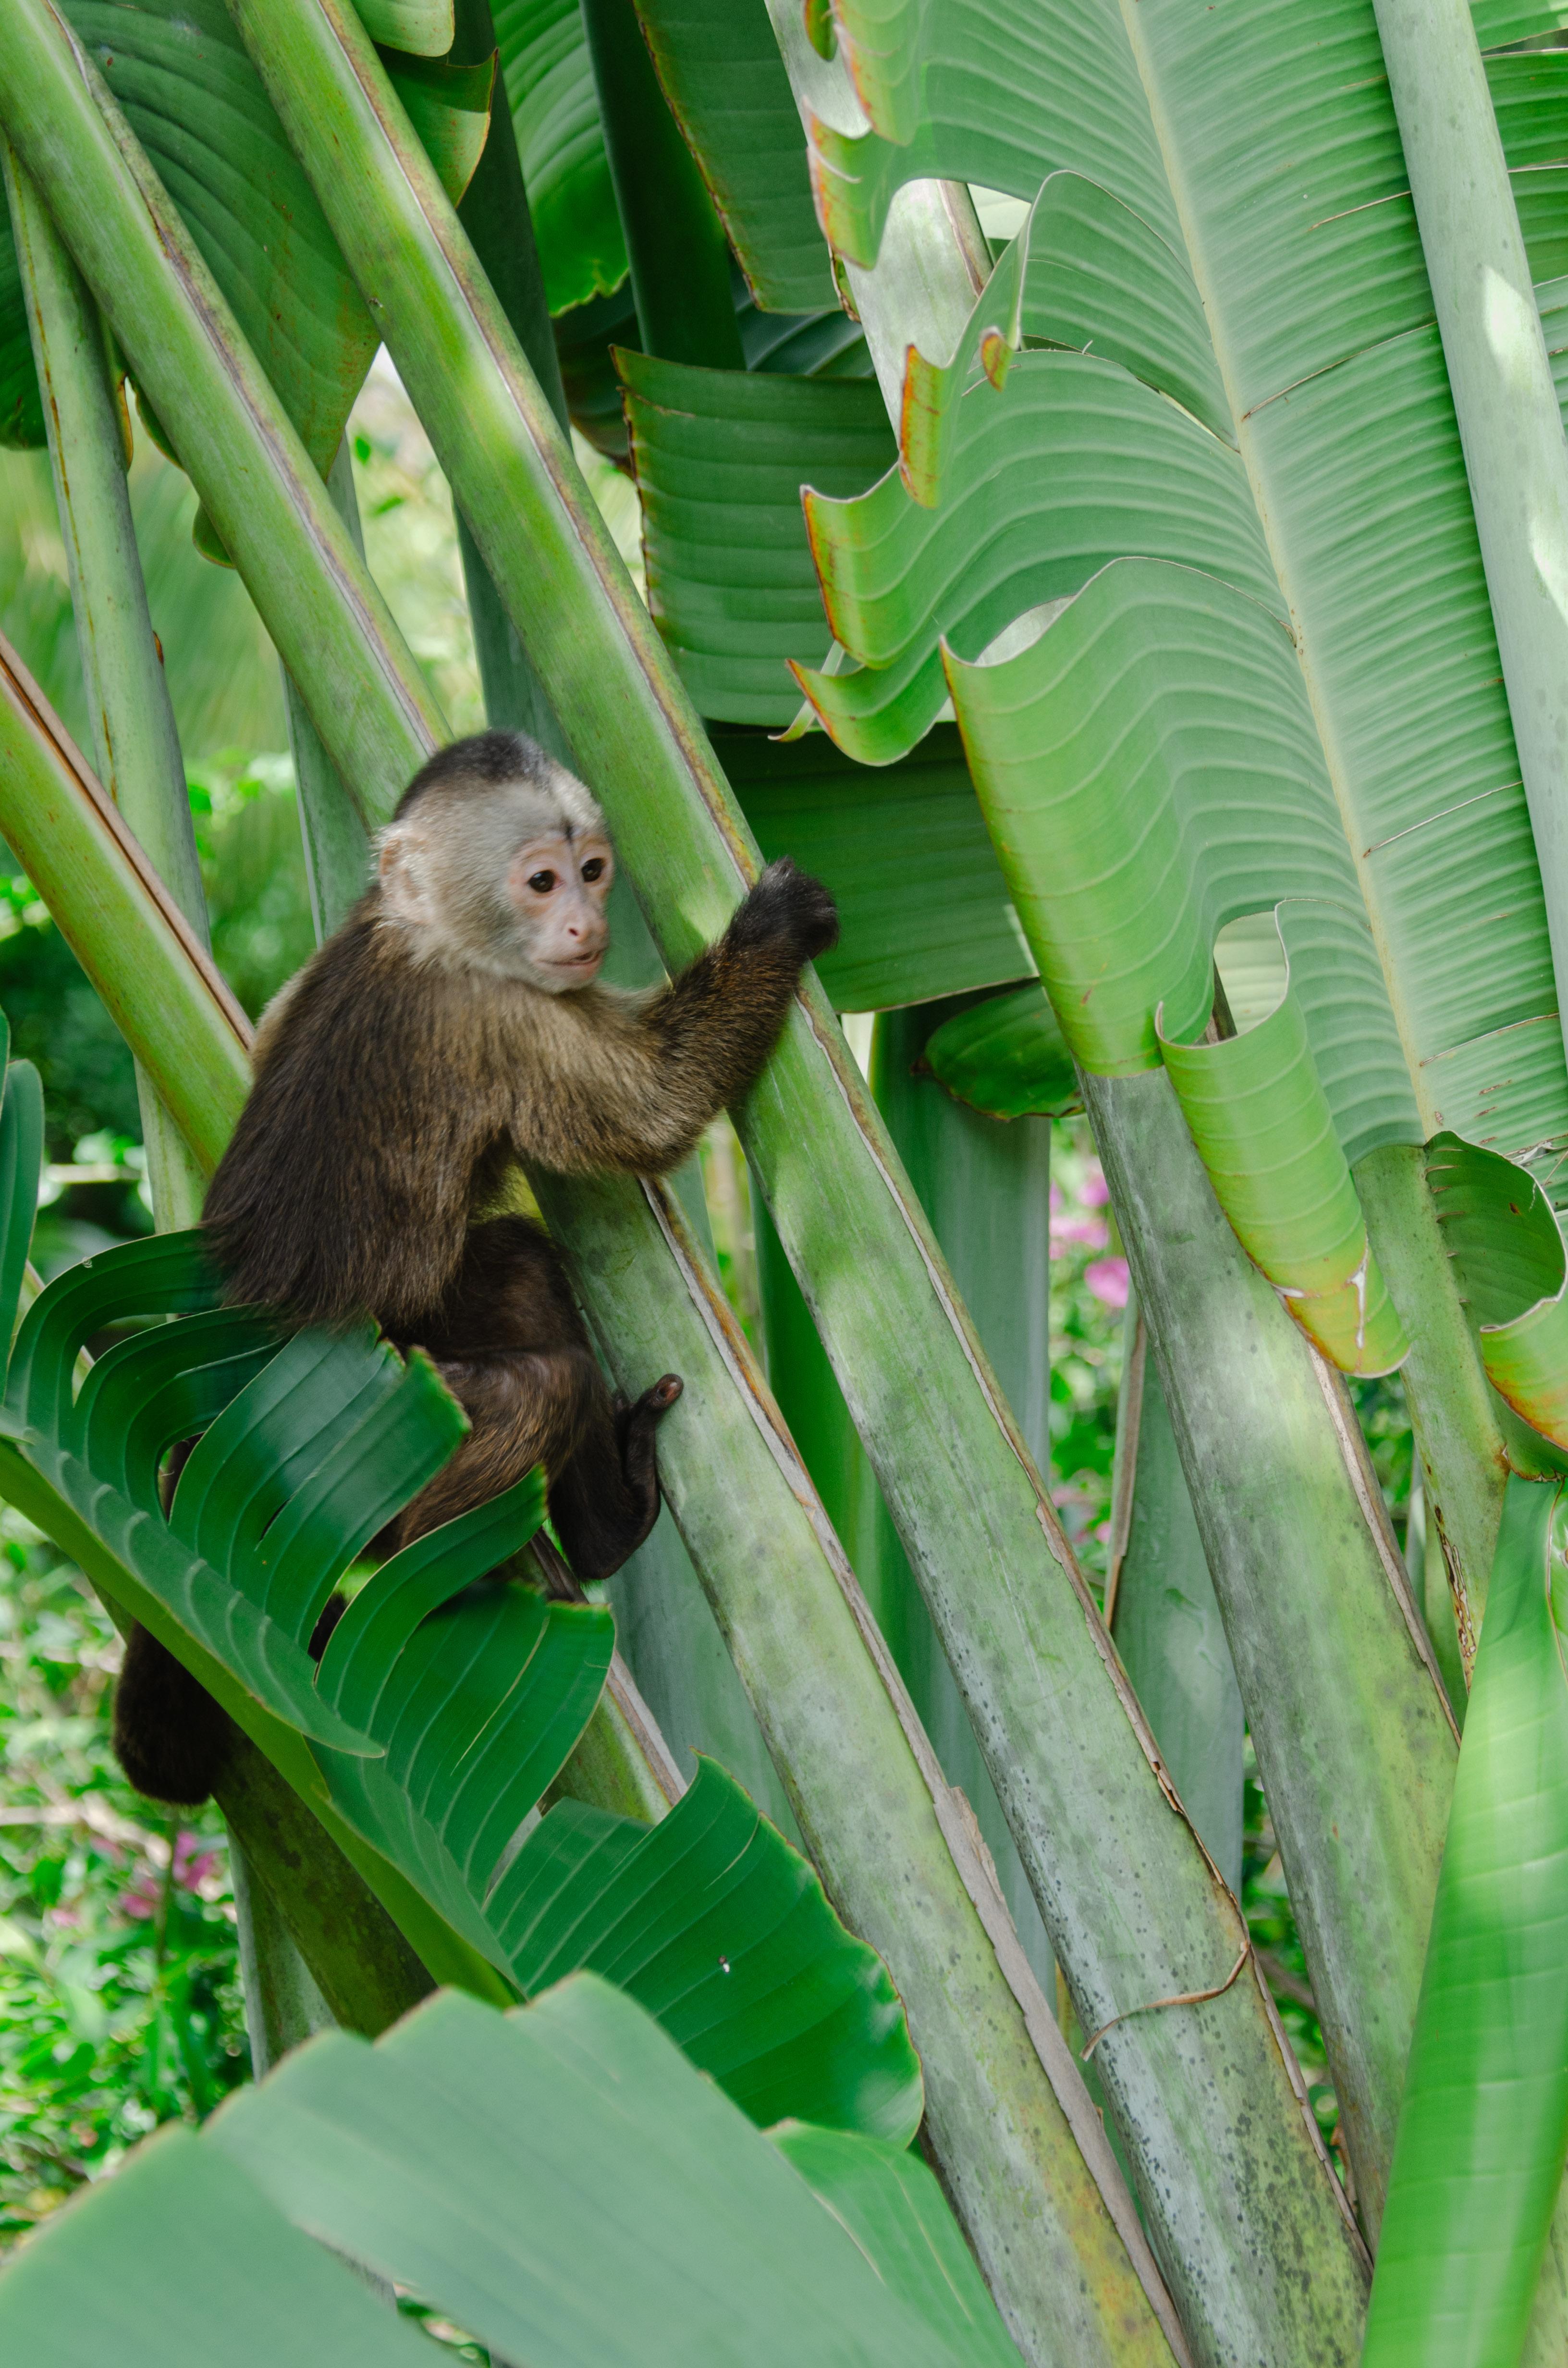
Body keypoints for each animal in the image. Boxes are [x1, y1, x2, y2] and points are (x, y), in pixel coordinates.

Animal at [111, 729, 838, 1804]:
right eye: (540, 881)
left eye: (594, 870)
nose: (586, 920)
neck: (420, 933)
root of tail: (199, 1443)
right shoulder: (494, 1011)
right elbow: (655, 1111)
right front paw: (773, 930)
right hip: (338, 1445)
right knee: (542, 1383)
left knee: (521, 1266)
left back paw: (603, 1523)